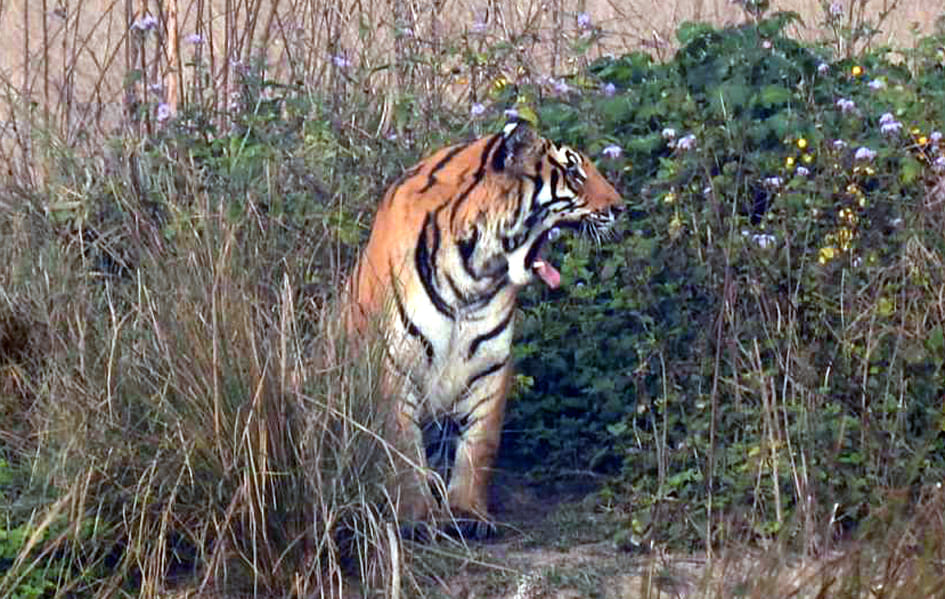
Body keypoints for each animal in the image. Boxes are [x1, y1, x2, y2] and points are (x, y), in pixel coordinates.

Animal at [347, 118, 623, 538]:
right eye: (574, 171)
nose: (621, 208)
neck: (473, 274)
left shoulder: (491, 363)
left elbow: (479, 443)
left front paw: (467, 513)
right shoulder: (393, 364)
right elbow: (402, 446)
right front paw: (417, 517)